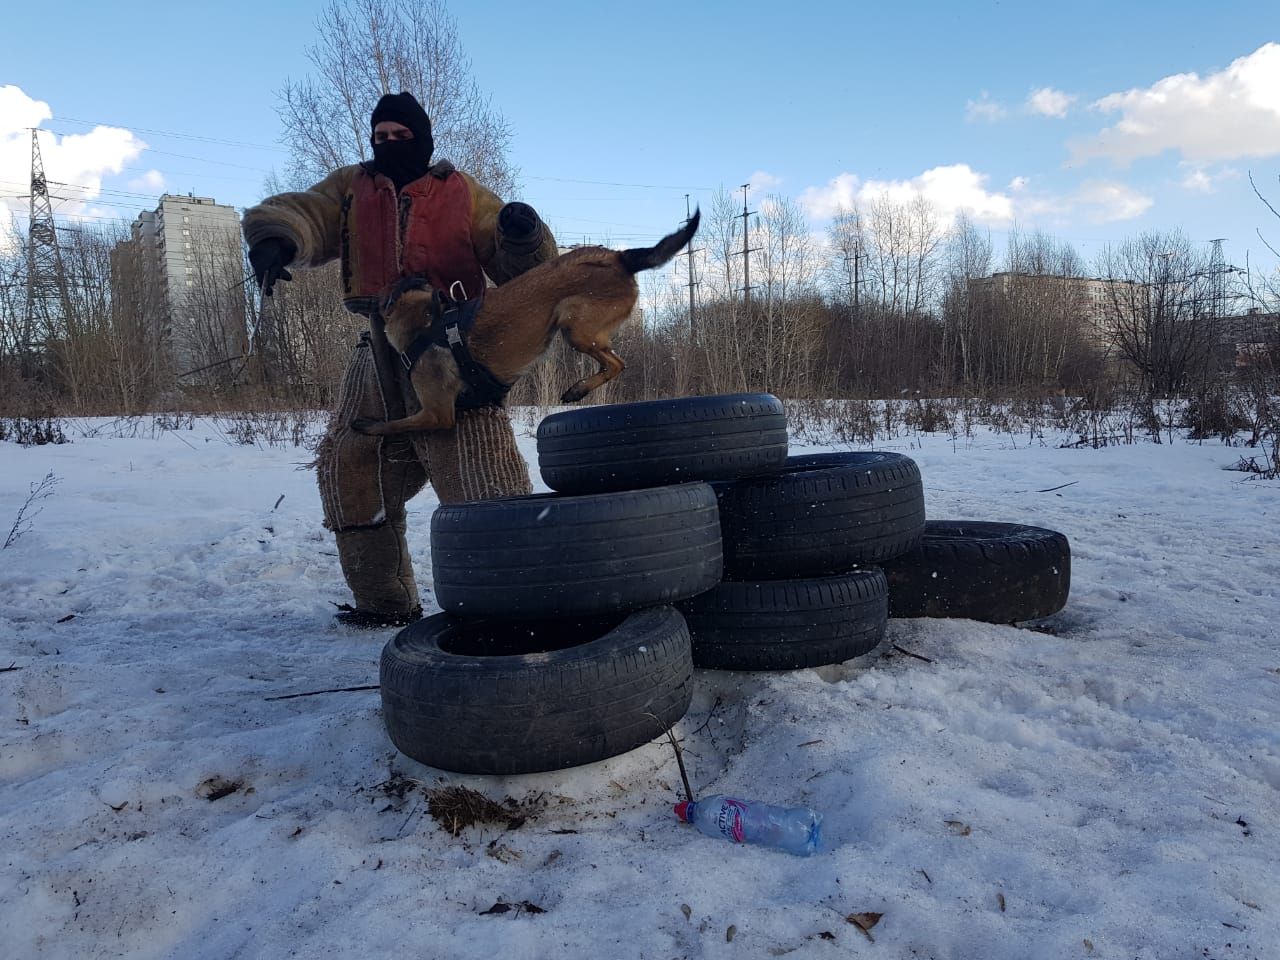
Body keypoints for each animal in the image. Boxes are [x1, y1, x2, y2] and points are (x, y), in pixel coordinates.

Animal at [350, 212, 701, 437]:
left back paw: (577, 389)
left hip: (573, 322)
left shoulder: (437, 414)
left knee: (617, 363)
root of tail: (621, 257)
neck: (425, 319)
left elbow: (396, 424)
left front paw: (368, 426)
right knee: (615, 362)